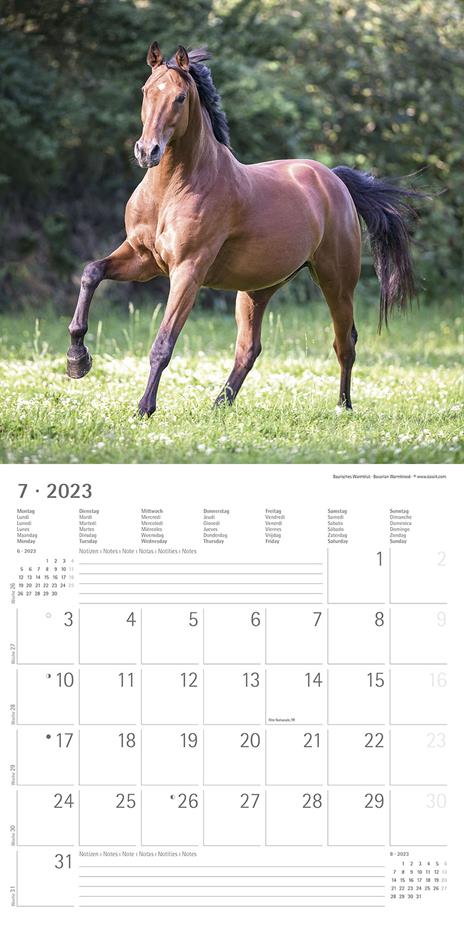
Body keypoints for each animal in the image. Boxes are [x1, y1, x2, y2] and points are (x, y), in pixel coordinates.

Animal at [67, 42, 420, 417]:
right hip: (258, 289)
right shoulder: (142, 258)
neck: (173, 189)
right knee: (250, 348)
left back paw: (343, 407)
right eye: (145, 90)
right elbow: (91, 272)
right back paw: (220, 404)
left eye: (180, 97)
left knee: (345, 342)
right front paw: (77, 360)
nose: (148, 151)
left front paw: (143, 408)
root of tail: (333, 179)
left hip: (336, 282)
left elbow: (163, 343)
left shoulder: (187, 271)